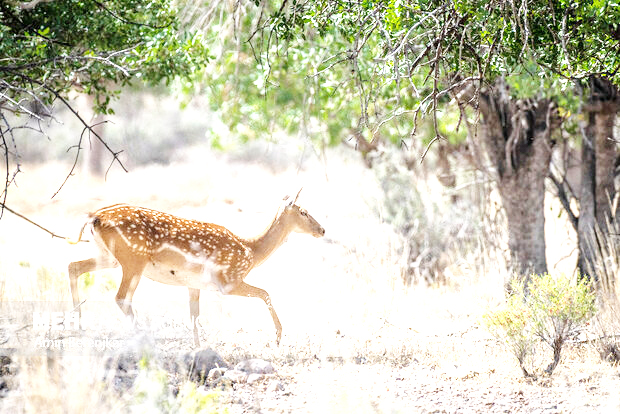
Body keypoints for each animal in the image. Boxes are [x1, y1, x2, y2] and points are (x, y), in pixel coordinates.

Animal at [68, 192, 324, 346]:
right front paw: (278, 338)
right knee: (121, 297)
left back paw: (78, 326)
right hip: (134, 259)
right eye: (303, 212)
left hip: (109, 257)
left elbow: (194, 316)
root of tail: (94, 218)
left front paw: (198, 349)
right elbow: (266, 293)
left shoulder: (194, 284)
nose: (322, 230)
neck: (251, 250)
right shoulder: (228, 281)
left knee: (73, 266)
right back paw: (144, 338)